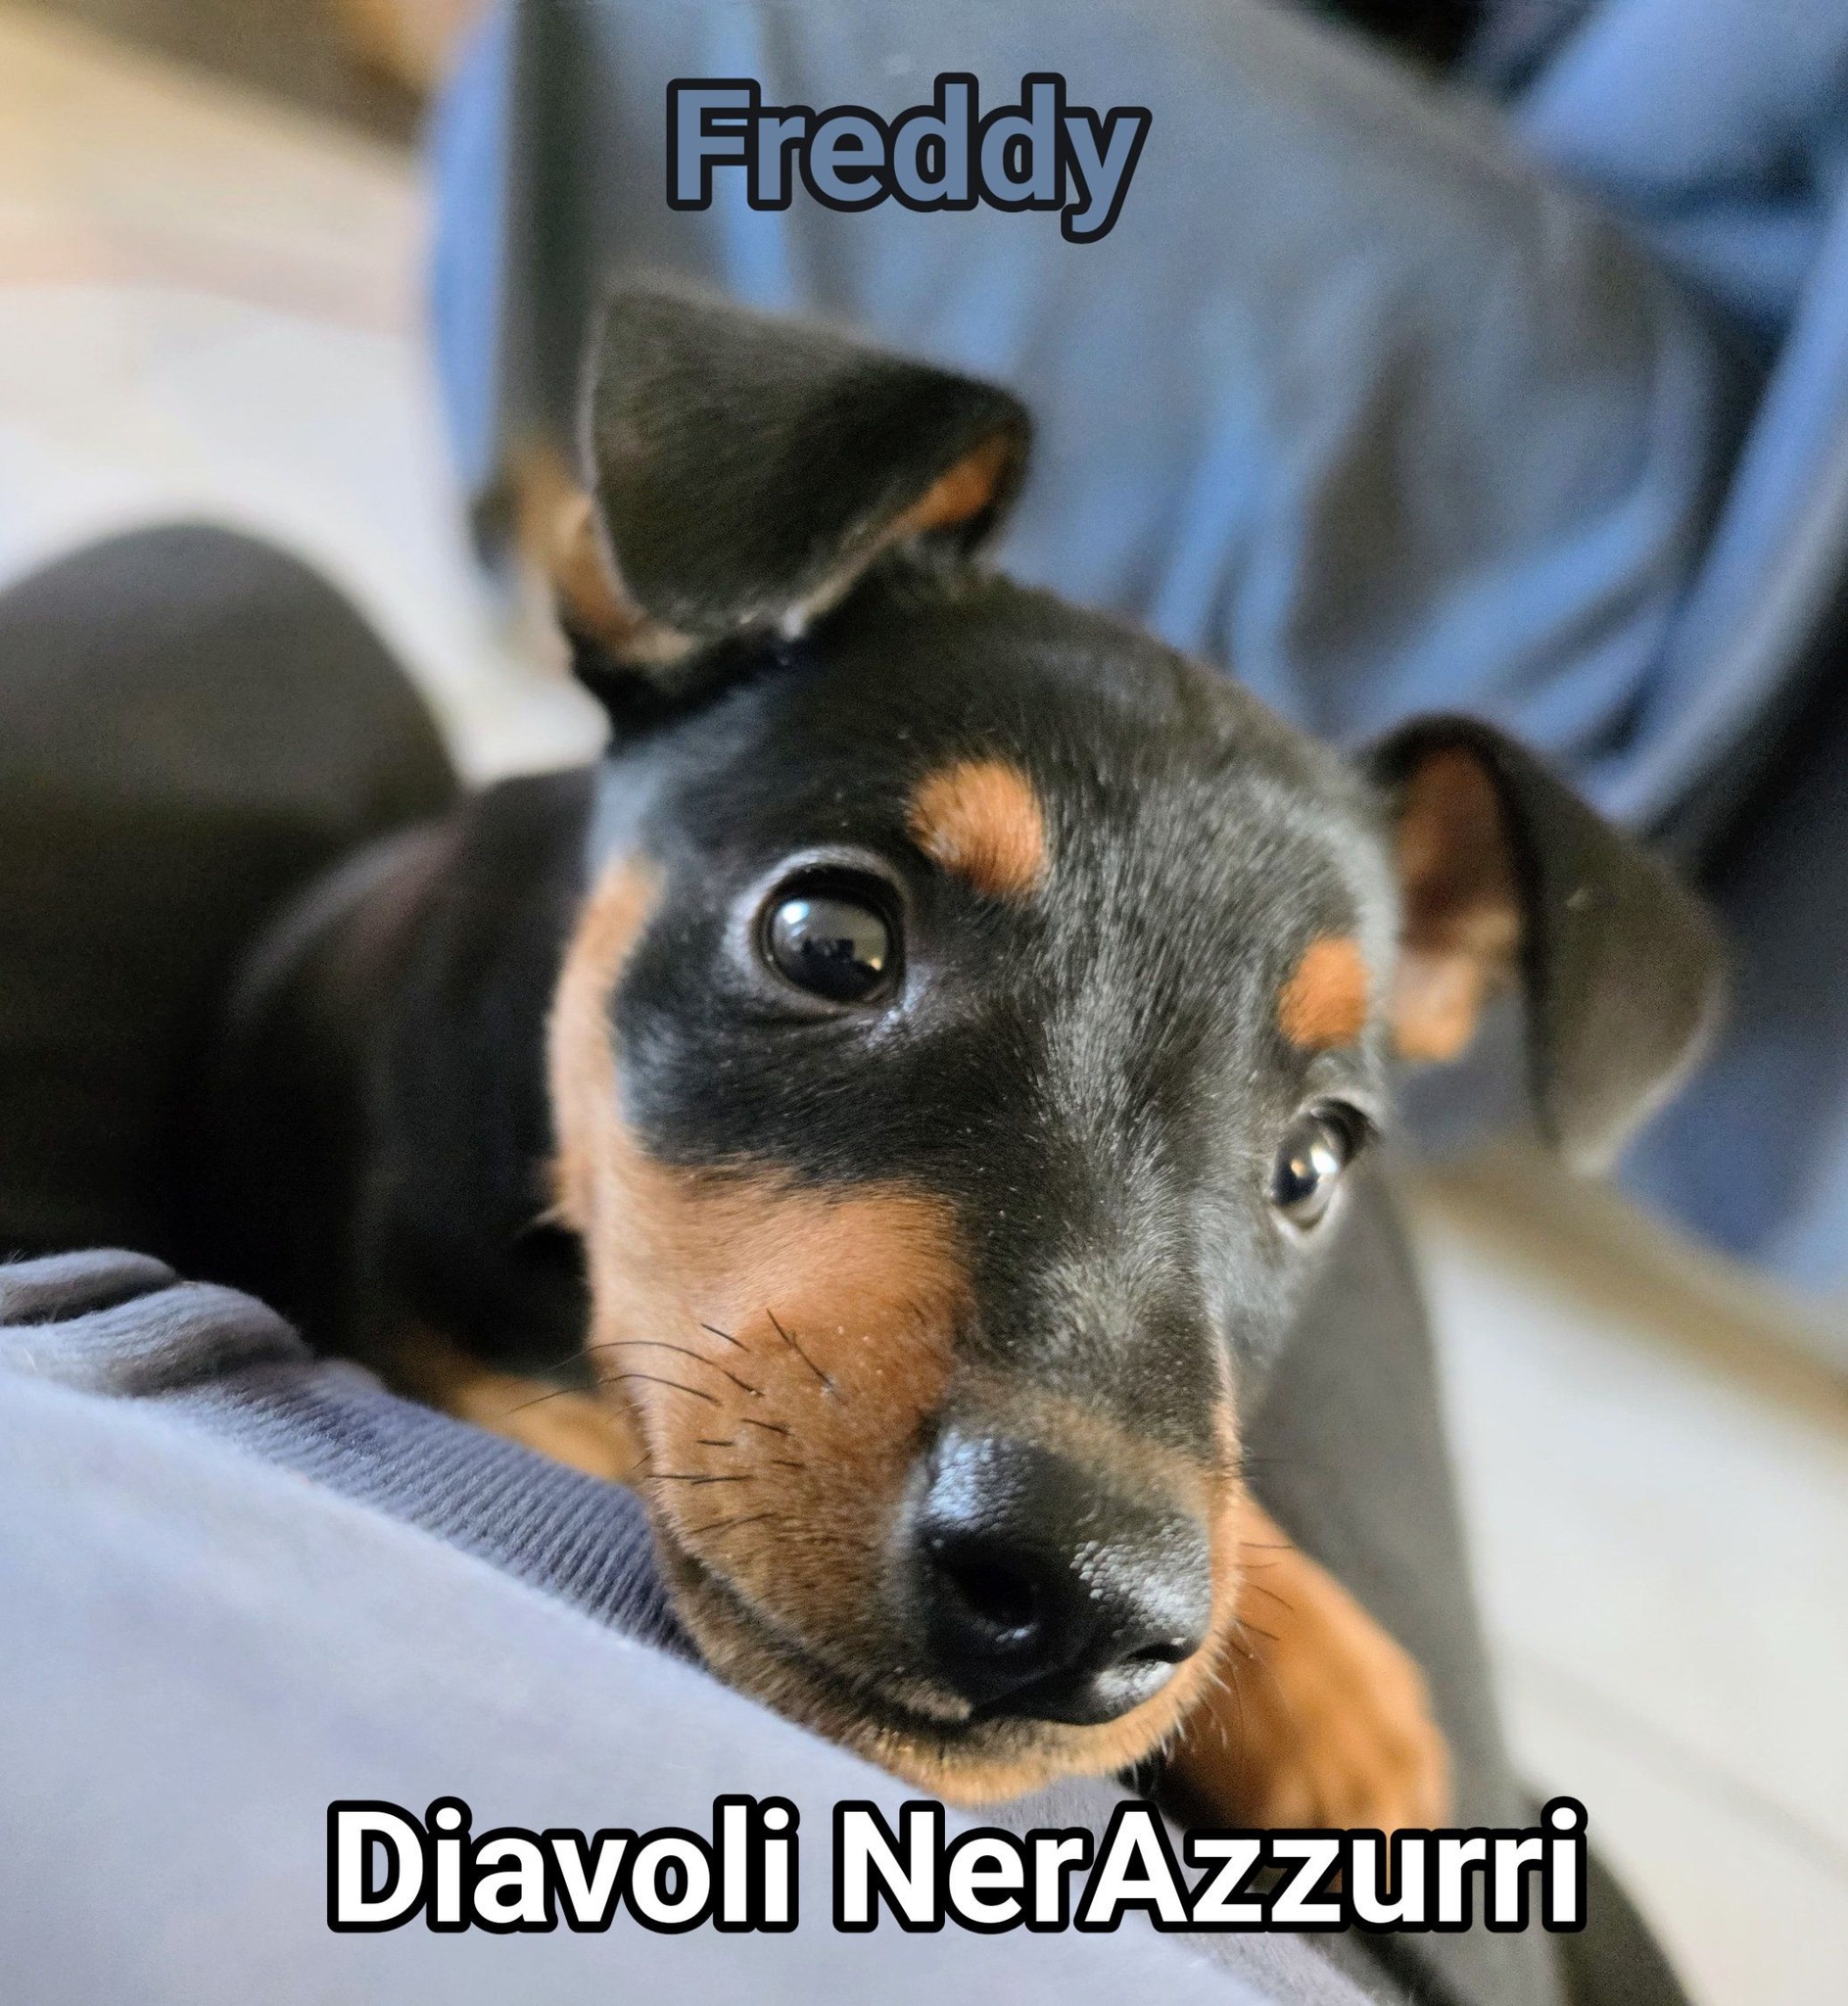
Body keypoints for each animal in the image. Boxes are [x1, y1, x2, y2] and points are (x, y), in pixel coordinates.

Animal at [199, 284, 1721, 1825]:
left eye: (1312, 1163)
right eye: (826, 942)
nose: (1086, 1604)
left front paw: (1343, 1703)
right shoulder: (445, 1342)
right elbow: (606, 1436)